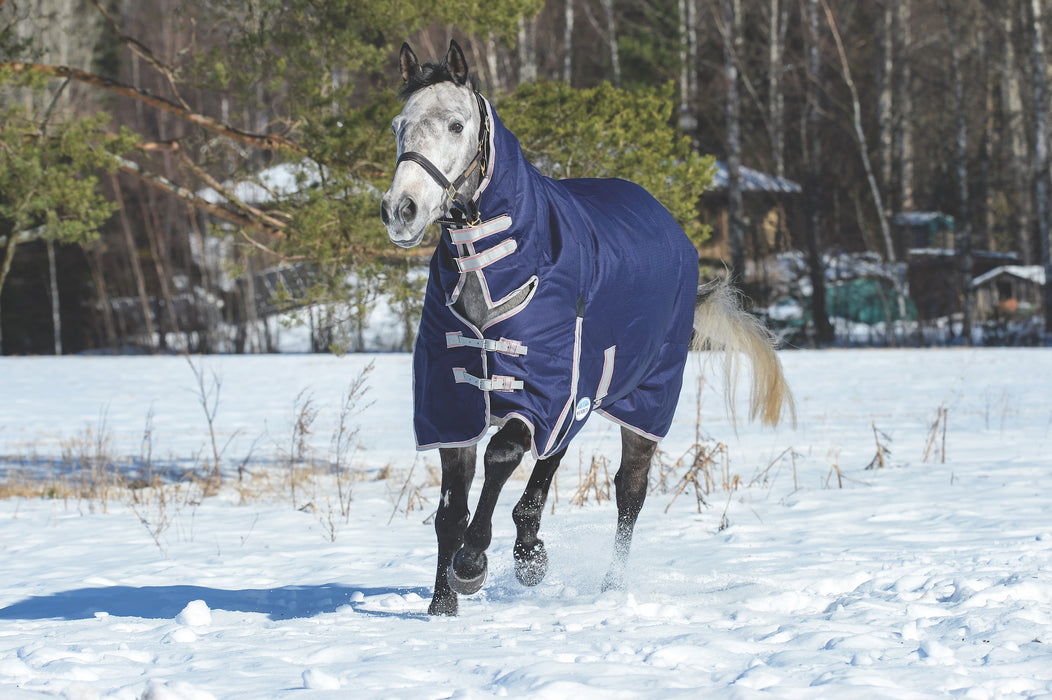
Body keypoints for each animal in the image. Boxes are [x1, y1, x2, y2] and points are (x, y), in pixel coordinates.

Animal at [378, 41, 791, 614]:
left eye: (457, 125)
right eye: (399, 126)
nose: (402, 210)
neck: (494, 268)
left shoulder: (543, 389)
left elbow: (502, 455)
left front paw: (472, 564)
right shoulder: (455, 402)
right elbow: (449, 508)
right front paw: (443, 605)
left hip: (642, 400)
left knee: (629, 491)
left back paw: (609, 586)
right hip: (582, 392)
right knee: (552, 462)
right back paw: (530, 550)